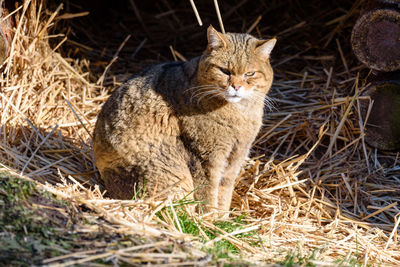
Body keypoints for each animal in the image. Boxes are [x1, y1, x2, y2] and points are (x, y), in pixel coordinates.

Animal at [93, 26, 276, 216]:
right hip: (172, 174)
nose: (236, 86)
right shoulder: (204, 159)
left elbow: (224, 194)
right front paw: (210, 220)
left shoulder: (235, 158)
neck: (239, 114)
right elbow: (208, 196)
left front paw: (223, 219)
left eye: (250, 73)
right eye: (225, 71)